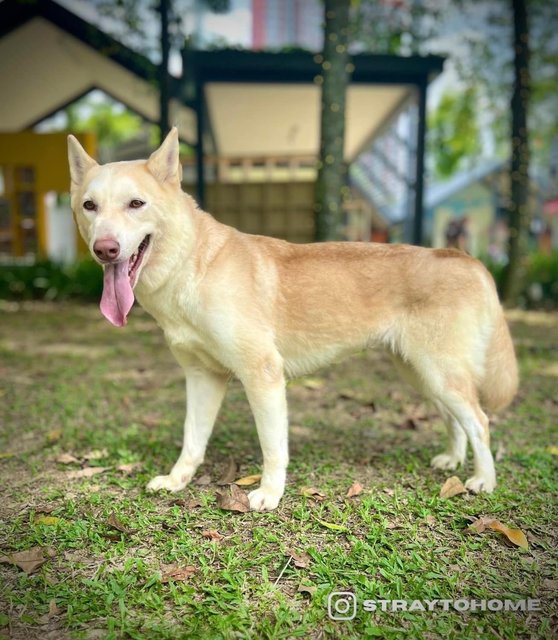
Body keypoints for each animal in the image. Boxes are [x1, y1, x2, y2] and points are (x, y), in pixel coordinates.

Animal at [66, 129, 520, 510]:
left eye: (136, 203)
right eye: (90, 206)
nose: (105, 249)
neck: (195, 267)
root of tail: (463, 257)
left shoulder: (263, 375)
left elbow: (273, 448)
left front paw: (269, 493)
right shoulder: (201, 377)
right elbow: (192, 441)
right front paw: (178, 481)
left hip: (439, 373)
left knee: (479, 421)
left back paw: (483, 480)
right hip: (422, 374)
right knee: (456, 419)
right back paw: (453, 461)